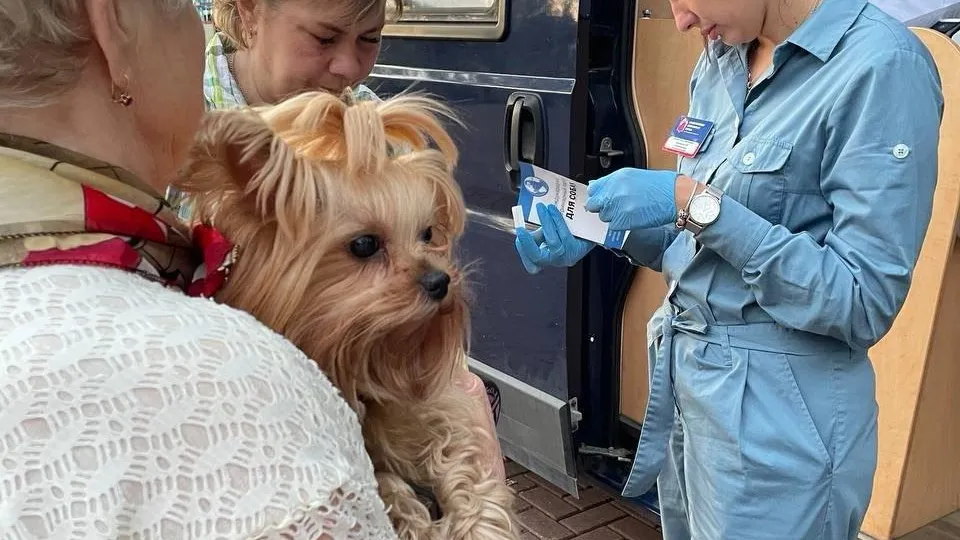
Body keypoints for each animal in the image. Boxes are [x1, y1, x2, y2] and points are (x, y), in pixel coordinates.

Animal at [172, 90, 516, 536]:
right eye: (365, 244)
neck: (359, 361)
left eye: (427, 233)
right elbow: (383, 482)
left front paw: (479, 520)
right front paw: (412, 511)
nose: (441, 281)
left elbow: (461, 461)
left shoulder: (434, 410)